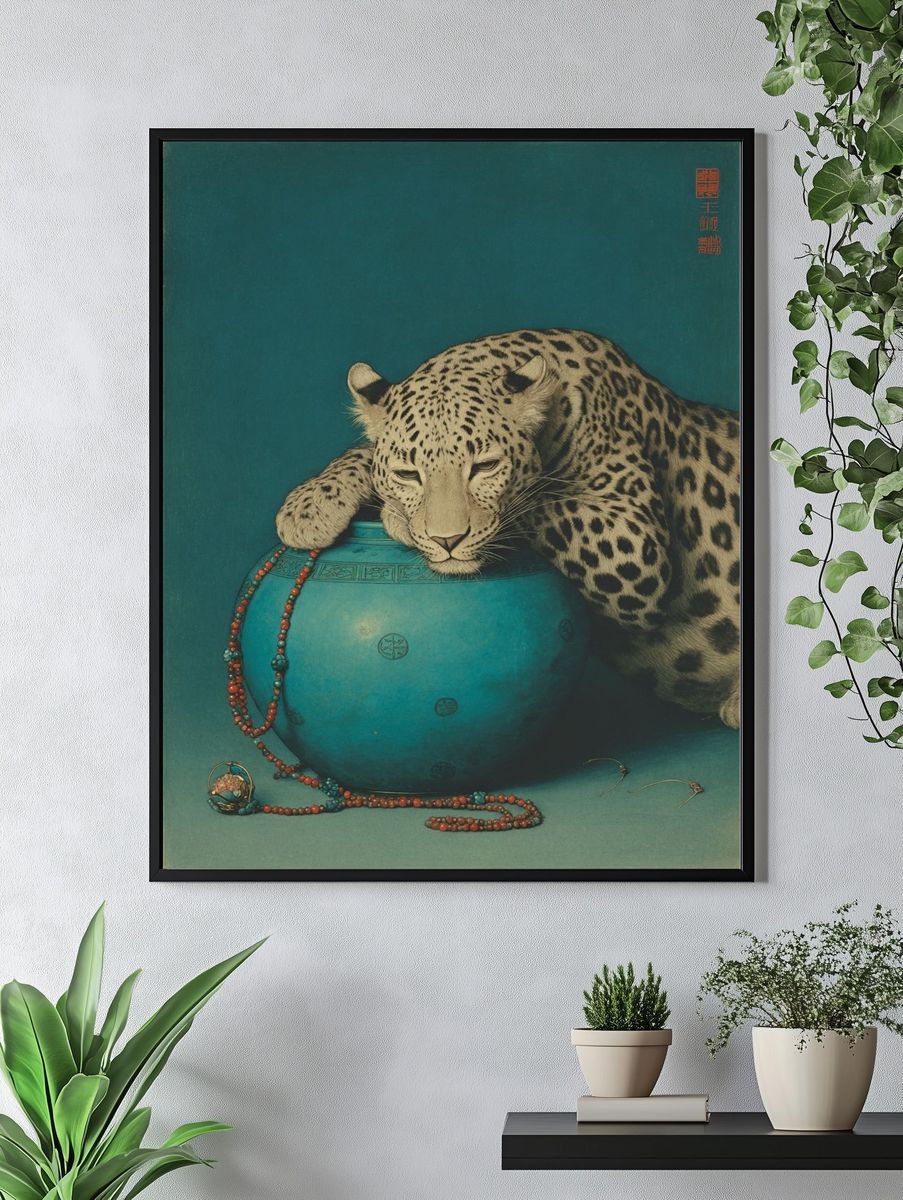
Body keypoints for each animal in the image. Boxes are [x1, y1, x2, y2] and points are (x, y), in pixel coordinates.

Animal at [276, 329, 742, 728]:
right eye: (408, 473)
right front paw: (308, 506)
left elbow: (540, 499)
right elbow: (362, 452)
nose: (447, 540)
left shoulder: (634, 542)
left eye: (484, 467)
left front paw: (394, 517)